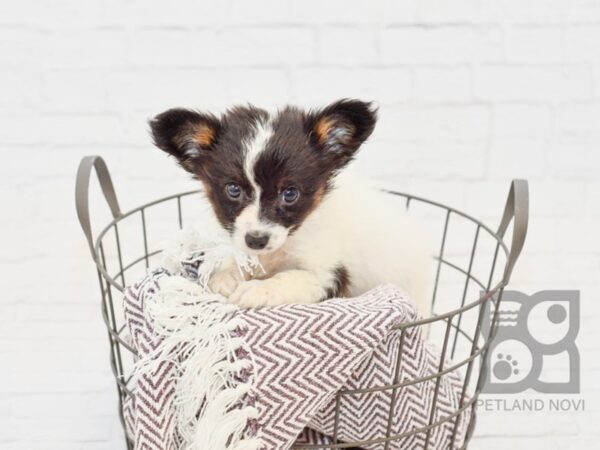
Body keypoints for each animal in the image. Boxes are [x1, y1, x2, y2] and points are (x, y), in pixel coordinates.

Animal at [150, 100, 432, 314]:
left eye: (290, 193)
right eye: (233, 190)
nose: (257, 240)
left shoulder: (327, 274)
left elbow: (290, 278)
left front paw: (257, 290)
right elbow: (238, 260)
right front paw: (226, 276)